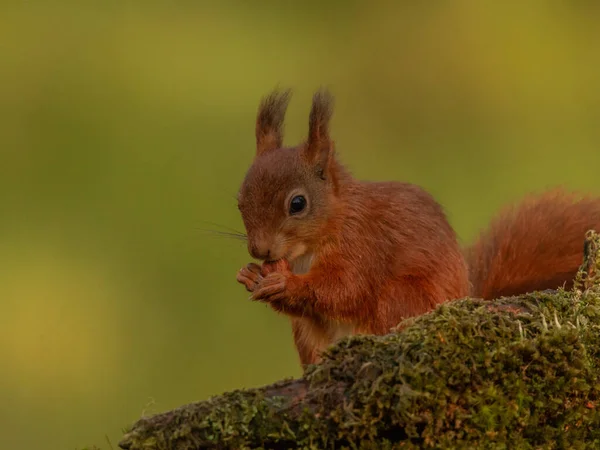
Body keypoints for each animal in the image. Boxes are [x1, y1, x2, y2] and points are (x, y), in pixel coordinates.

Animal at [234, 88, 600, 366]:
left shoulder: (364, 245)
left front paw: (286, 283)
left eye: (297, 204)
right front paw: (251, 275)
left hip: (402, 296)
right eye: (239, 200)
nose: (260, 249)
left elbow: (345, 288)